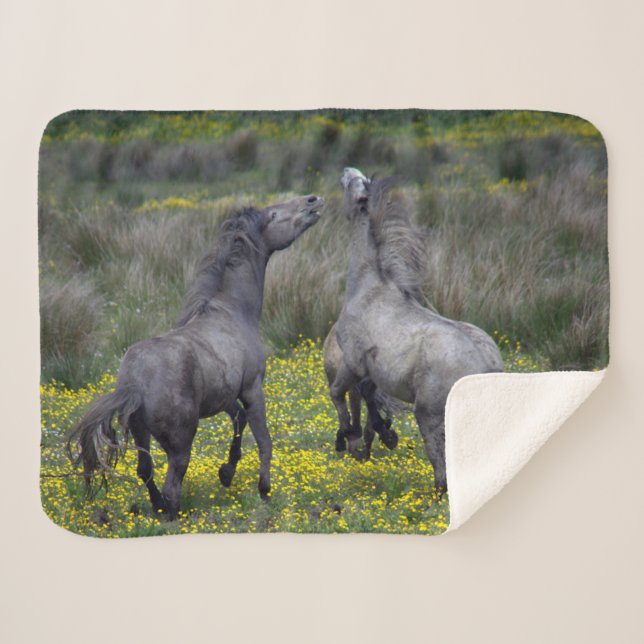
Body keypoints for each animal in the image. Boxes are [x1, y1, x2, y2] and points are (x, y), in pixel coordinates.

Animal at [67, 193, 324, 520]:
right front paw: (264, 489)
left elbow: (239, 421)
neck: (232, 312)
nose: (312, 200)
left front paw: (226, 473)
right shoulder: (252, 388)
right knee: (172, 484)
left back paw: (158, 507)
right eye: (275, 214)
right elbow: (264, 440)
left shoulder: (225, 397)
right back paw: (172, 514)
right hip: (180, 442)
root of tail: (135, 382)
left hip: (141, 434)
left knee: (145, 471)